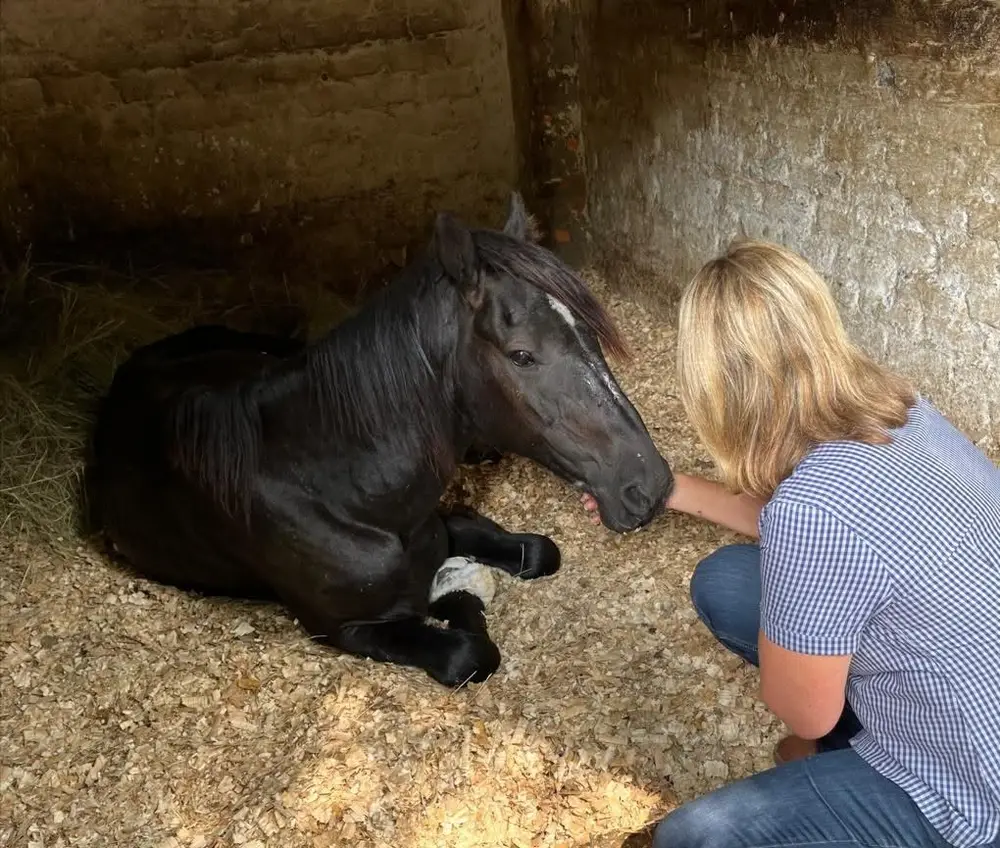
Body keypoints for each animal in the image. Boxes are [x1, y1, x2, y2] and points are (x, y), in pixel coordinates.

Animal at [84, 192, 674, 687]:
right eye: (522, 355)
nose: (650, 486)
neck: (333, 486)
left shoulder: (436, 524)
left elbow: (534, 550)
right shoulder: (344, 628)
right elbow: (467, 653)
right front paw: (454, 600)